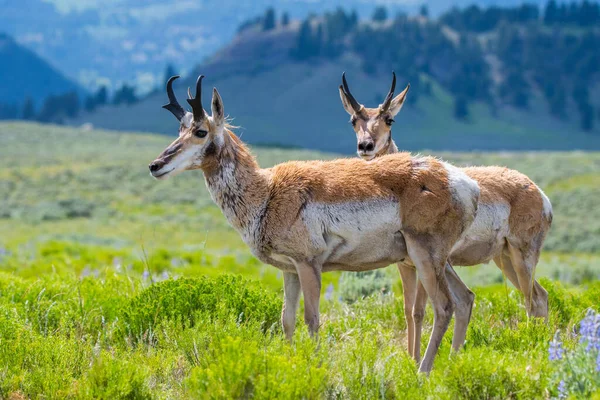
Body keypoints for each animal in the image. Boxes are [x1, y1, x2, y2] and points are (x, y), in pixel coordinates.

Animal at [152, 74, 480, 372]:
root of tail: (464, 182)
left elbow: (311, 319)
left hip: (424, 256)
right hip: (437, 261)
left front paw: (315, 366)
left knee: (444, 306)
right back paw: (452, 365)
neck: (267, 190)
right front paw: (289, 363)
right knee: (465, 299)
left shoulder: (309, 264)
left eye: (200, 131)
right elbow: (286, 318)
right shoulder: (289, 269)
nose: (155, 165)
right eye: (179, 129)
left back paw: (423, 371)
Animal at [338, 72, 552, 362]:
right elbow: (408, 310)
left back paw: (531, 345)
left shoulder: (423, 263)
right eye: (353, 120)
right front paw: (410, 357)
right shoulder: (406, 265)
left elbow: (419, 311)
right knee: (541, 296)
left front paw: (416, 360)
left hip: (522, 258)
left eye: (389, 119)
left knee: (533, 300)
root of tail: (537, 191)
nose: (365, 146)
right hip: (504, 259)